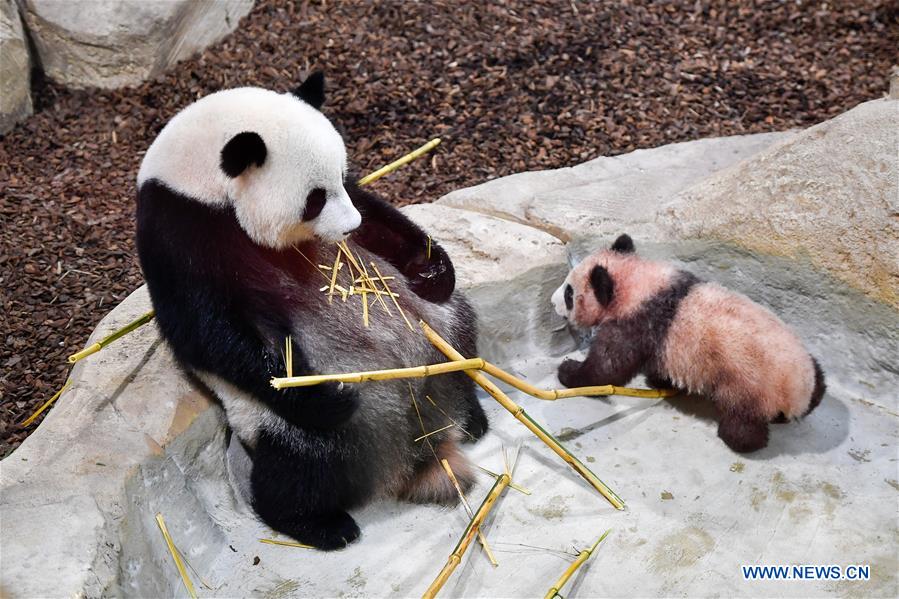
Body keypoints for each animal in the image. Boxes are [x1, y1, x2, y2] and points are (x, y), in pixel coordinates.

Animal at [134, 74, 488, 548]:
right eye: (314, 198)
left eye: (339, 176)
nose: (349, 227)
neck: (199, 181)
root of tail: (417, 446)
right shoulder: (178, 234)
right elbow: (208, 332)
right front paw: (325, 399)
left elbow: (377, 214)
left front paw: (432, 268)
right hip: (278, 420)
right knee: (305, 461)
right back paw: (318, 523)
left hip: (437, 331)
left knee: (459, 339)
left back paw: (472, 415)